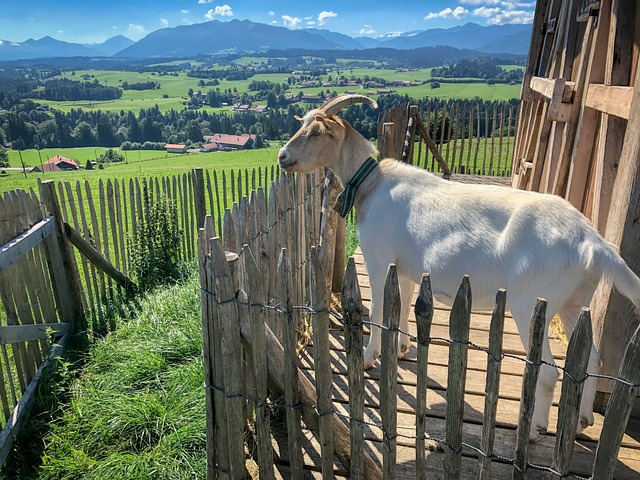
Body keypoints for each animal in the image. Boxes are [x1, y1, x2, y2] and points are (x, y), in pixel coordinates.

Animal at [278, 92, 640, 440]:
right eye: (303, 124)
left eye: (316, 132)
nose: (282, 156)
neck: (372, 183)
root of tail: (593, 241)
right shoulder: (404, 266)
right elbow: (403, 303)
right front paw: (402, 347)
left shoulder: (379, 259)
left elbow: (380, 311)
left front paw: (369, 358)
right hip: (574, 301)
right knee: (592, 359)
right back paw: (582, 421)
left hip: (532, 302)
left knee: (550, 371)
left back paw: (535, 430)